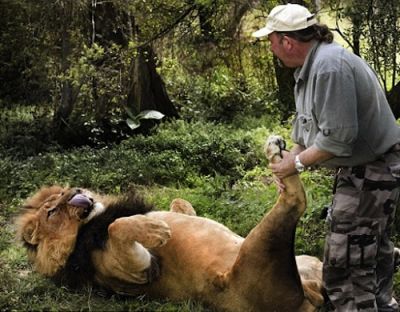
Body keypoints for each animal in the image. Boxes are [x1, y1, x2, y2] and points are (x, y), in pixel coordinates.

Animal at [14, 137, 324, 312]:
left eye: (61, 192)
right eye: (52, 211)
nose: (74, 191)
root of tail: (308, 299)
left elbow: (178, 202)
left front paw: (166, 215)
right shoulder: (139, 270)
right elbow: (117, 227)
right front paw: (156, 230)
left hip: (307, 261)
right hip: (260, 249)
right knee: (294, 199)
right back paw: (277, 156)